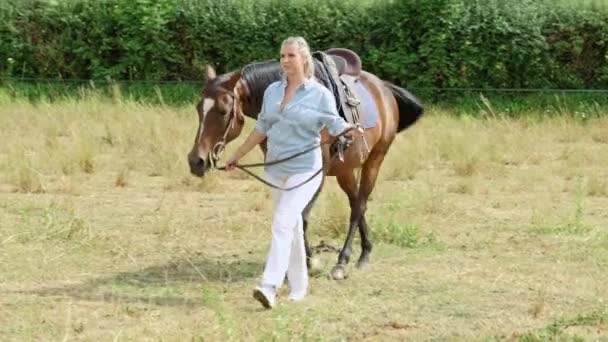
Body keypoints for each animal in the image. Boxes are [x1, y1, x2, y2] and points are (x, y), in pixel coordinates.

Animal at [186, 56, 422, 280]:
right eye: (198, 109)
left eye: (223, 111)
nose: (196, 161)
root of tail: (382, 87)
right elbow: (289, 215)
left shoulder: (316, 173)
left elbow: (302, 217)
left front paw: (308, 263)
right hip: (345, 170)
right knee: (357, 202)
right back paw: (365, 252)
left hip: (375, 159)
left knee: (359, 206)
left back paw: (342, 262)